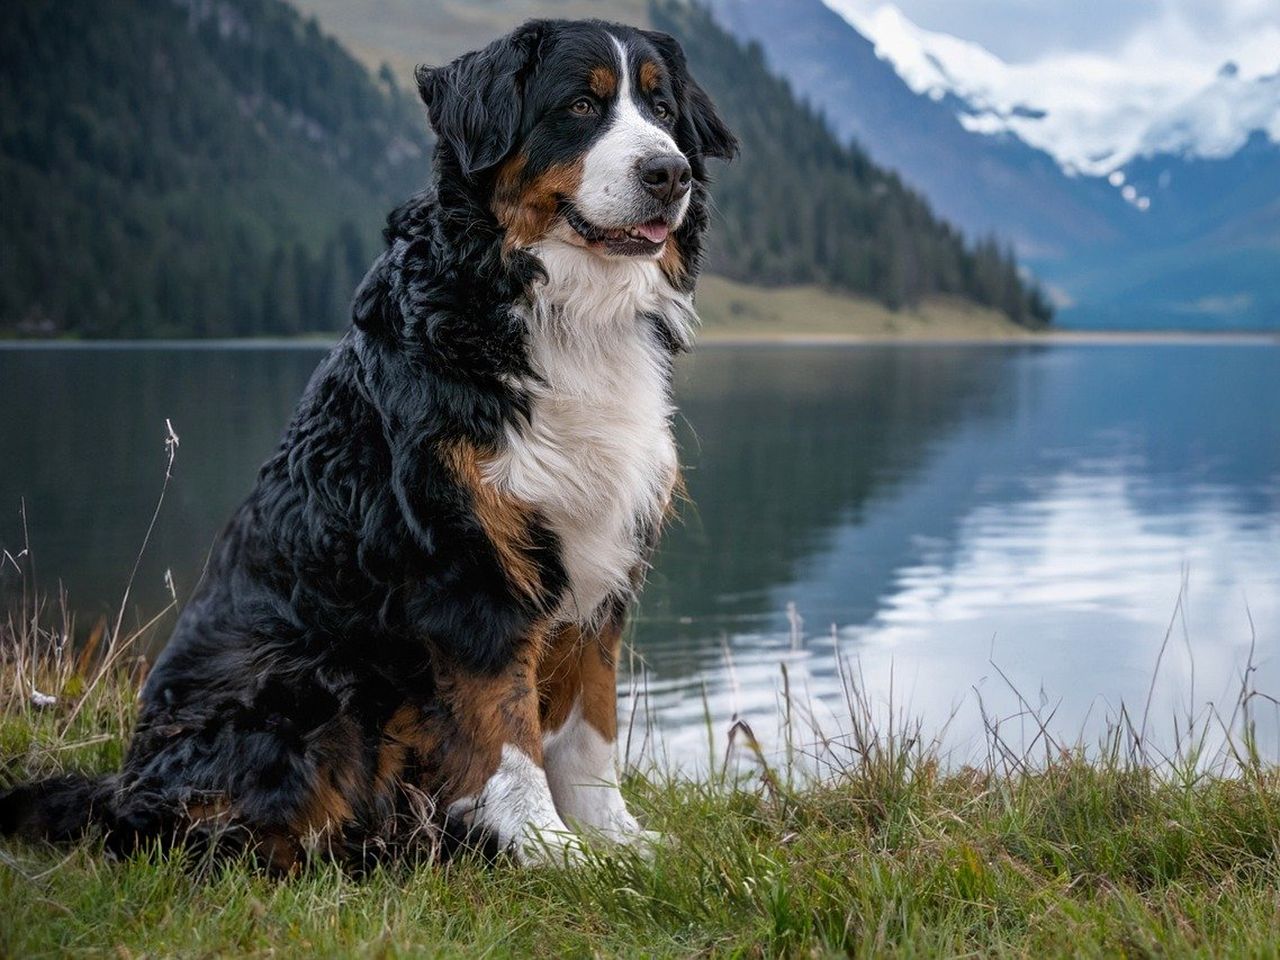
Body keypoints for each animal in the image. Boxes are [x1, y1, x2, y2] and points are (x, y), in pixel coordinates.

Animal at [0, 18, 737, 870]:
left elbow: (591, 729)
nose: (668, 172)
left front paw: (615, 839)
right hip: (307, 685)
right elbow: (507, 731)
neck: (560, 312)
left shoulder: (603, 561)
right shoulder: (467, 565)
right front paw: (546, 846)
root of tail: (123, 788)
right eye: (581, 106)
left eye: (662, 108)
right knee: (208, 836)